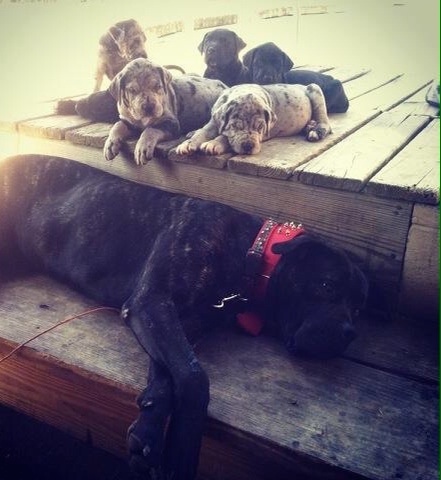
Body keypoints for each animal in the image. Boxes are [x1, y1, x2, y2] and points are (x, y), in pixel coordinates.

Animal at [0, 156, 368, 480]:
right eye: (327, 285)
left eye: (357, 308)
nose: (349, 332)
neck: (249, 252)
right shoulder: (152, 302)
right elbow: (194, 377)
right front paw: (181, 452)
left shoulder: (179, 322)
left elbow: (168, 374)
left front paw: (147, 430)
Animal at [175, 82, 330, 157]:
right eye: (235, 126)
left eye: (260, 127)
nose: (248, 146)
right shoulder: (214, 121)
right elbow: (203, 132)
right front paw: (188, 144)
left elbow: (224, 137)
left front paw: (214, 144)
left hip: (315, 90)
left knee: (325, 123)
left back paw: (315, 131)